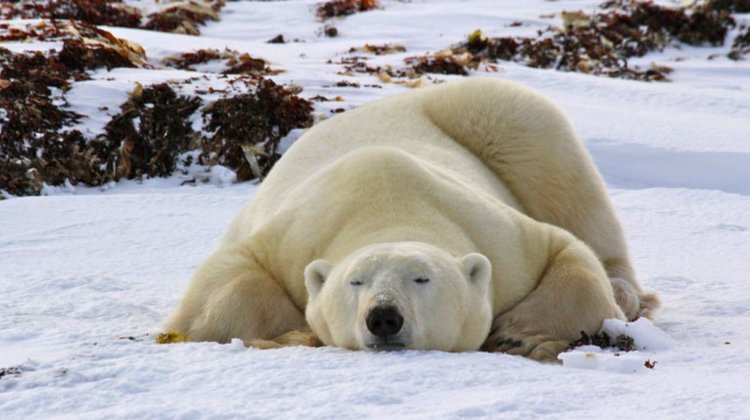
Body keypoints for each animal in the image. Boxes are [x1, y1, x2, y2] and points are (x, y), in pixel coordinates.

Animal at [162, 77, 659, 361]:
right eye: (355, 281)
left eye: (422, 279)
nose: (384, 317)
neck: (389, 204)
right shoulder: (295, 233)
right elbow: (227, 280)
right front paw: (291, 333)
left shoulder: (501, 237)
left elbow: (569, 254)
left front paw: (518, 336)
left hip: (498, 119)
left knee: (563, 180)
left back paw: (625, 291)